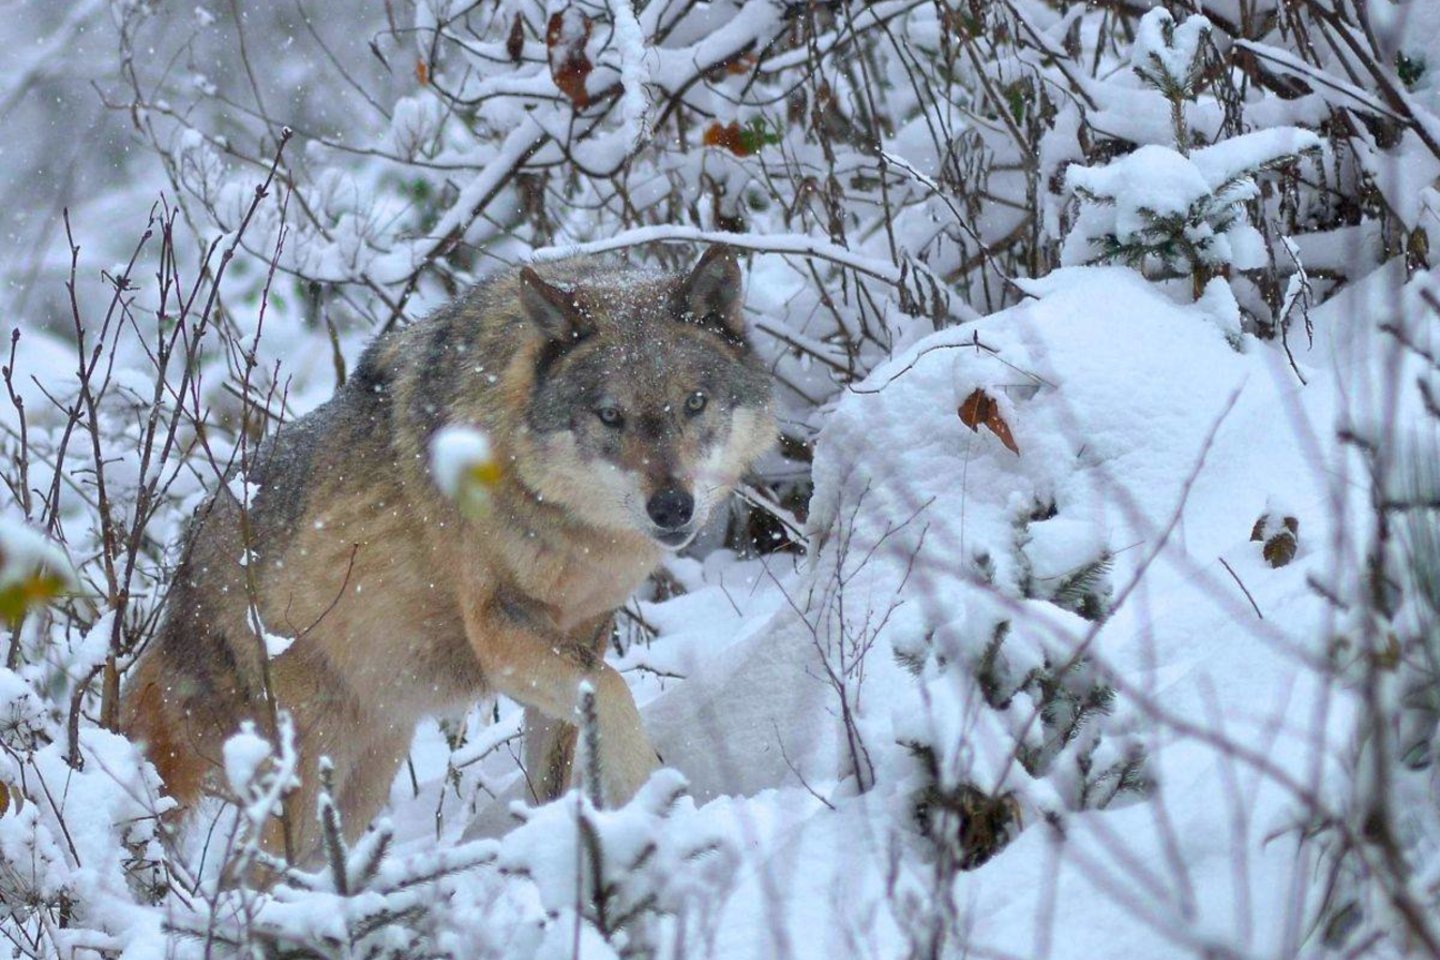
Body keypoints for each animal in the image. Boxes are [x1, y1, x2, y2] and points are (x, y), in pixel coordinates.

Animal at [123, 246, 777, 857]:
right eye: (609, 416)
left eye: (695, 403)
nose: (672, 507)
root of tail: (183, 578)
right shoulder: (499, 632)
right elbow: (615, 692)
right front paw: (658, 803)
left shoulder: (586, 628)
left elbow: (559, 764)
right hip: (310, 767)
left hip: (373, 764)